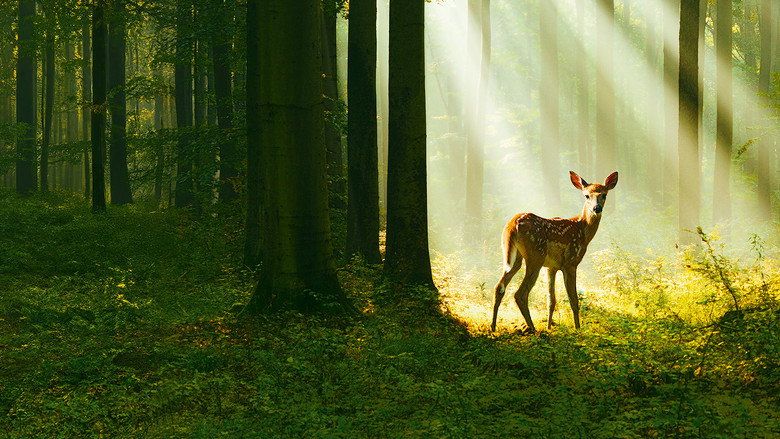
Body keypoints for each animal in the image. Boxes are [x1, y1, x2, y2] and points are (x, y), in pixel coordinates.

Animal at [491, 171, 618, 333]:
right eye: (586, 196)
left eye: (604, 195)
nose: (597, 208)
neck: (582, 230)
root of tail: (512, 224)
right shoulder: (571, 263)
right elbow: (573, 299)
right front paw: (577, 329)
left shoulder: (551, 267)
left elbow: (551, 300)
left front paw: (549, 327)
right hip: (535, 256)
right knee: (520, 294)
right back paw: (533, 329)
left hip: (513, 256)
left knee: (499, 287)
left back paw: (493, 327)